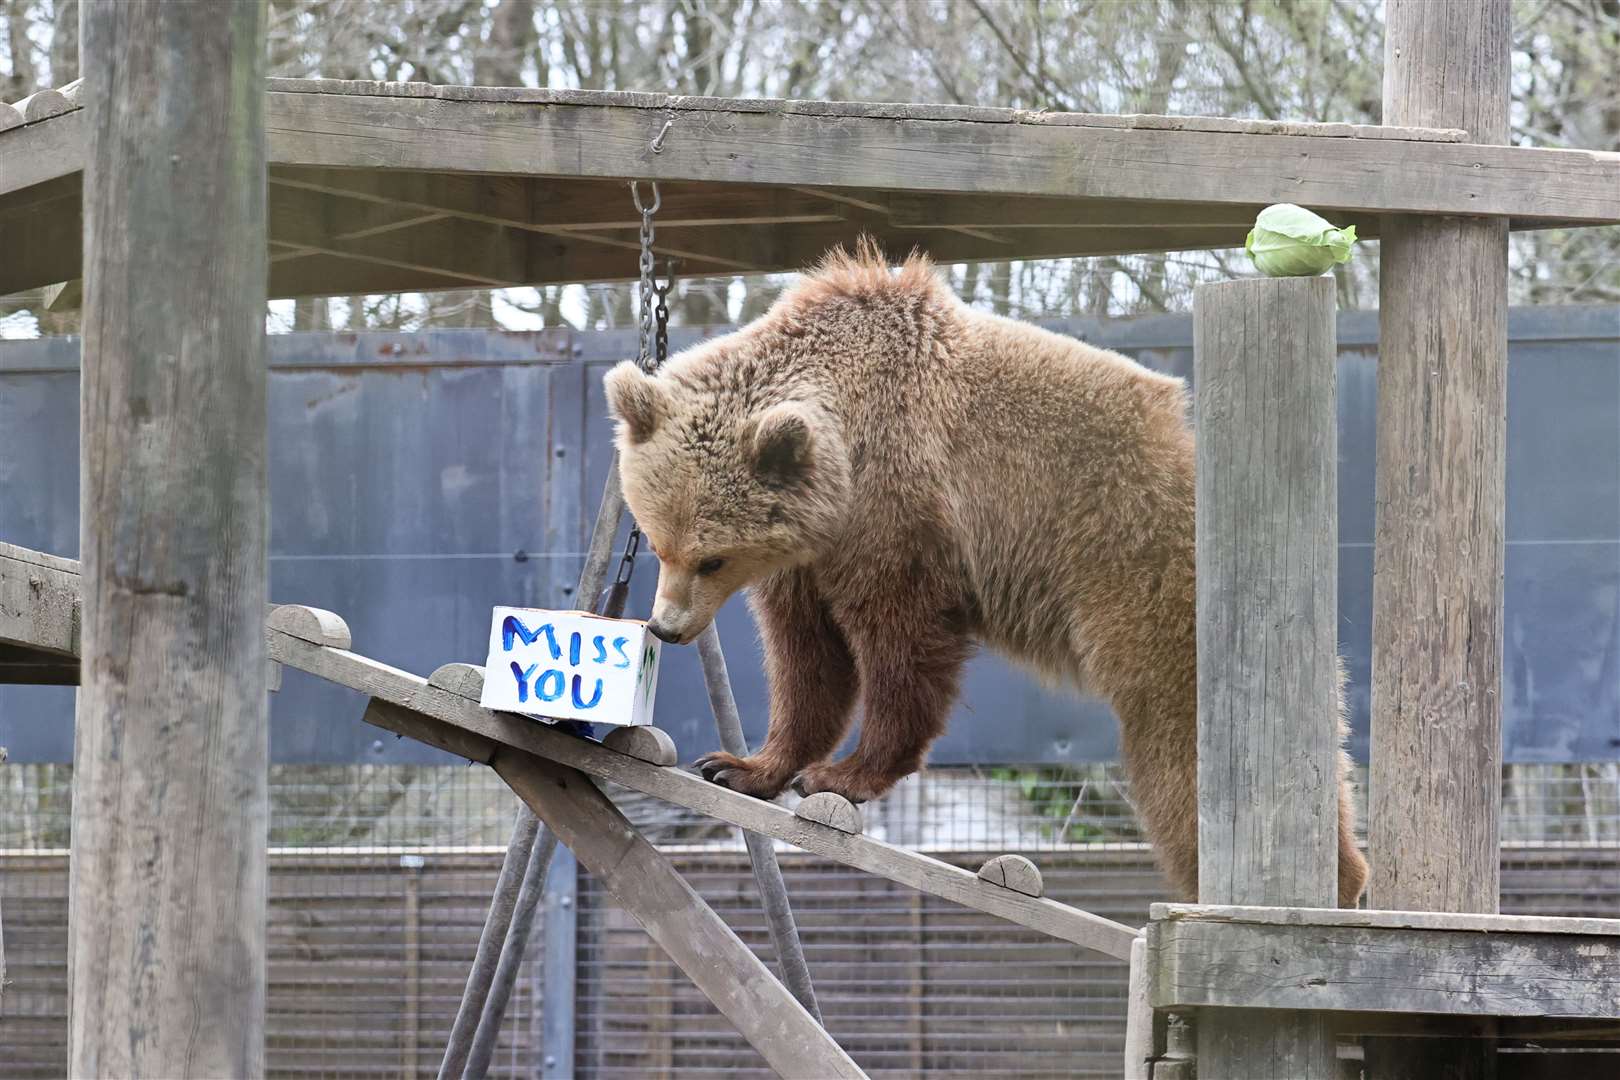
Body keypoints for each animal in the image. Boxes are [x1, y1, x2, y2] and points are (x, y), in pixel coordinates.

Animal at [605, 241, 1367, 906]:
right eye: (657, 544)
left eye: (711, 556)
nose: (666, 627)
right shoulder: (806, 557)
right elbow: (806, 659)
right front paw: (744, 764)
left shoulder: (900, 512)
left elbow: (899, 645)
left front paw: (847, 773)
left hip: (1148, 571)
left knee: (1182, 739)